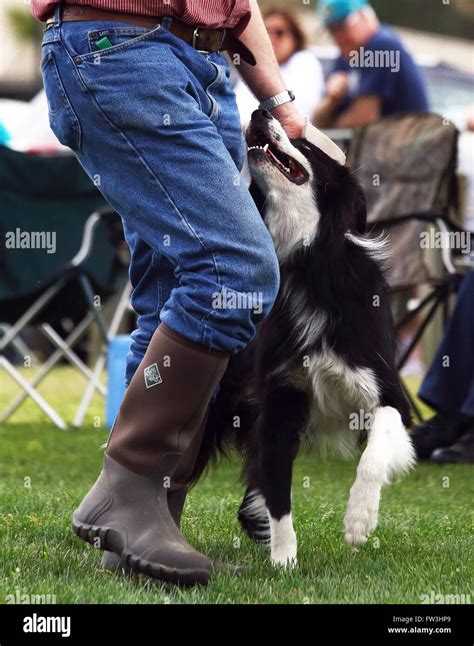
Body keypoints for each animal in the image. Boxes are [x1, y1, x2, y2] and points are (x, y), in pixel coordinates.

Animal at [193, 110, 414, 568]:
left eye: (307, 145)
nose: (260, 112)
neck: (304, 261)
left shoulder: (389, 396)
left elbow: (375, 452)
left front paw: (359, 521)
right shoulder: (281, 398)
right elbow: (279, 490)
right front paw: (284, 561)